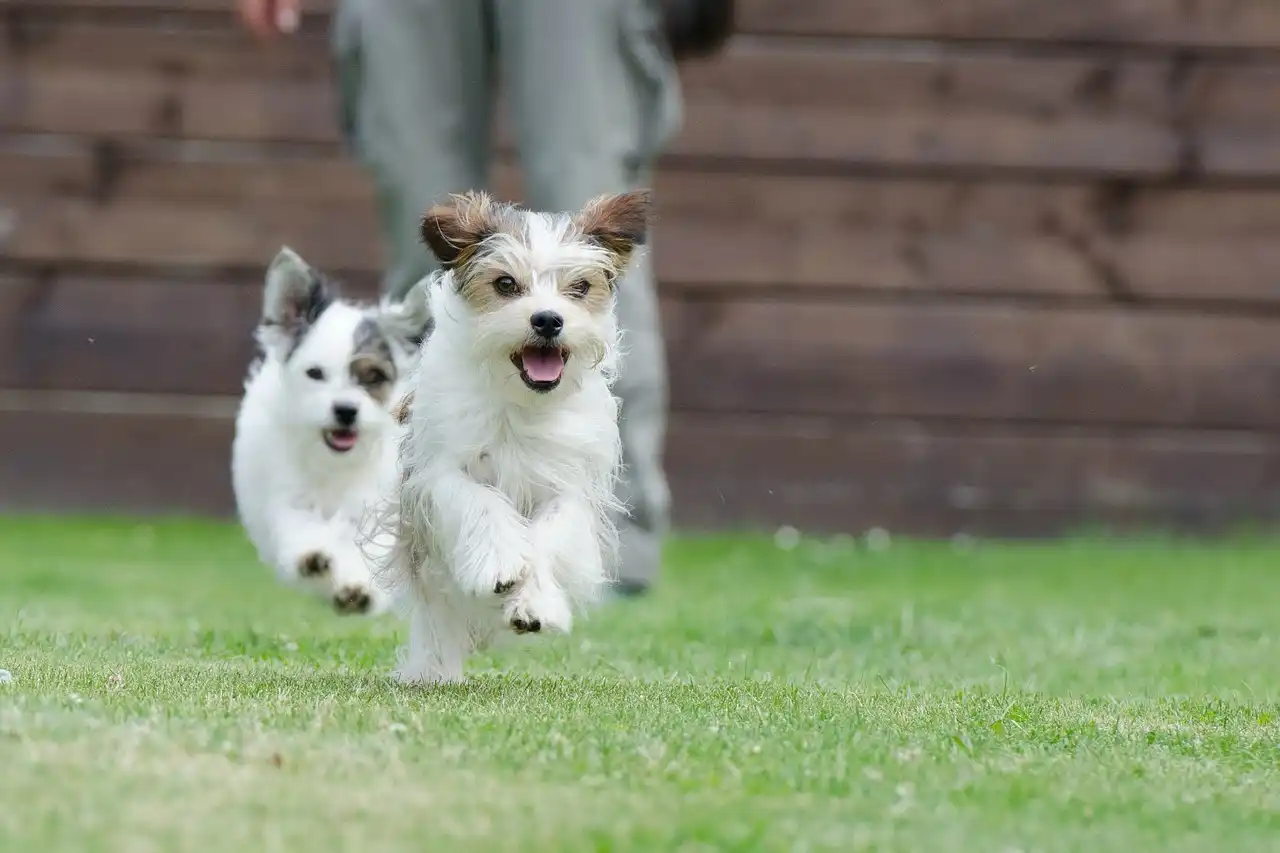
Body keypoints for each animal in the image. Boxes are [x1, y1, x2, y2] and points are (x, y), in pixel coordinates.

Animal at [238, 245, 437, 612]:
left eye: (373, 377)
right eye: (315, 373)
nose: (345, 410)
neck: (337, 463)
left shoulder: (376, 506)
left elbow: (369, 547)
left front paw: (358, 586)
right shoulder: (291, 498)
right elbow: (300, 529)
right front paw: (312, 556)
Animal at [371, 189, 650, 681]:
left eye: (580, 287)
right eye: (505, 284)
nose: (548, 320)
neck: (521, 401)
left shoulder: (568, 486)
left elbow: (547, 535)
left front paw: (534, 602)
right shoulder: (440, 471)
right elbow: (480, 500)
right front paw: (502, 564)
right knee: (437, 609)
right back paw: (432, 670)